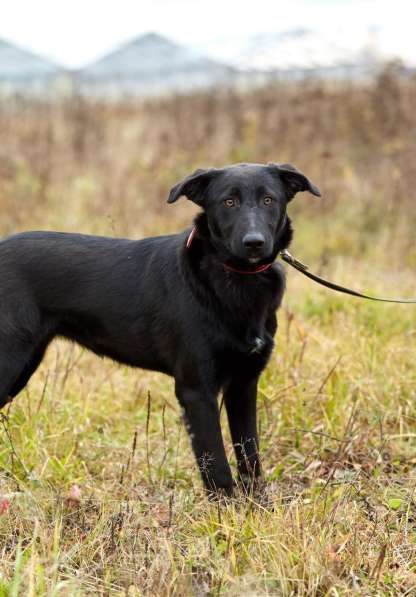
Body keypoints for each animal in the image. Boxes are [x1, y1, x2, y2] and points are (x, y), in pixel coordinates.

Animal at [0, 163, 320, 494]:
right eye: (228, 202)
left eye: (269, 200)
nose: (254, 242)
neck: (236, 280)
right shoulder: (196, 390)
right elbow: (216, 466)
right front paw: (225, 508)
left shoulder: (243, 384)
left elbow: (250, 457)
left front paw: (256, 505)